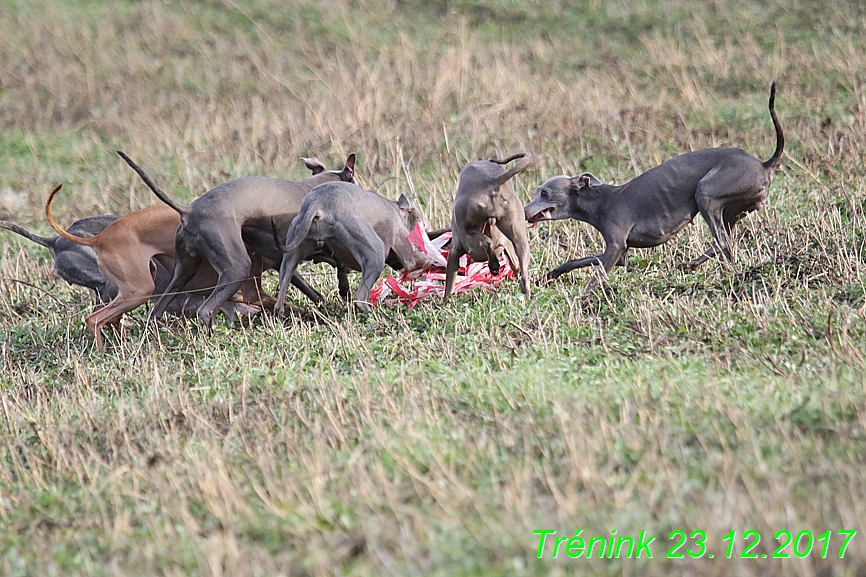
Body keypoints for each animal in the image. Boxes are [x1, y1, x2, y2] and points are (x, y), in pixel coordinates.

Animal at [524, 82, 780, 284]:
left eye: (544, 193)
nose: (524, 211)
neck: (601, 201)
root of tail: (764, 164)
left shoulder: (616, 246)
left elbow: (597, 277)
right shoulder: (619, 253)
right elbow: (580, 260)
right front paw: (551, 274)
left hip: (707, 194)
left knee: (723, 240)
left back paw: (691, 264)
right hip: (732, 211)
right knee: (728, 243)